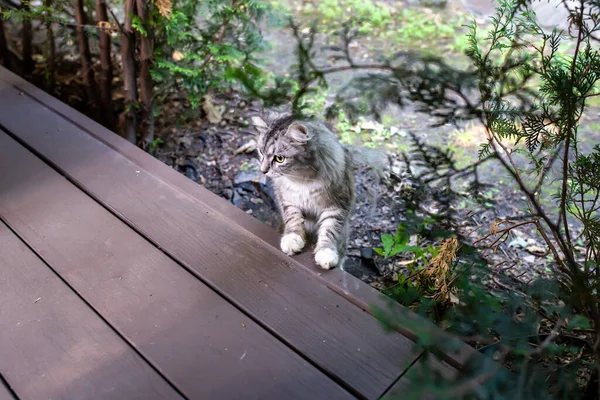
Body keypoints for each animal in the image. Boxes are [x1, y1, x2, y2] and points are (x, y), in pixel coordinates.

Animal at [250, 113, 354, 268]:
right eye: (261, 152)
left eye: (279, 159)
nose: (263, 171)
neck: (302, 181)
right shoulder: (287, 199)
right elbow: (294, 219)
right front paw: (292, 240)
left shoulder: (337, 205)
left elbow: (329, 230)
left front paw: (326, 252)